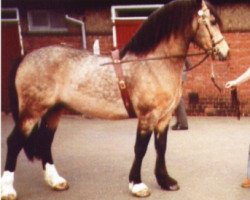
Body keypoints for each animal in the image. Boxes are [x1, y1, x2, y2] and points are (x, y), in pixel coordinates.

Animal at [0, 0, 229, 199]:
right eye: (212, 22)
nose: (225, 52)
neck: (152, 63)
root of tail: (26, 57)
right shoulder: (147, 117)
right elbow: (140, 149)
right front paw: (137, 184)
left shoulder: (163, 118)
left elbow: (161, 147)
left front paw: (165, 181)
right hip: (31, 112)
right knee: (14, 143)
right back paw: (8, 190)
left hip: (54, 111)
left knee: (46, 142)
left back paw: (56, 181)